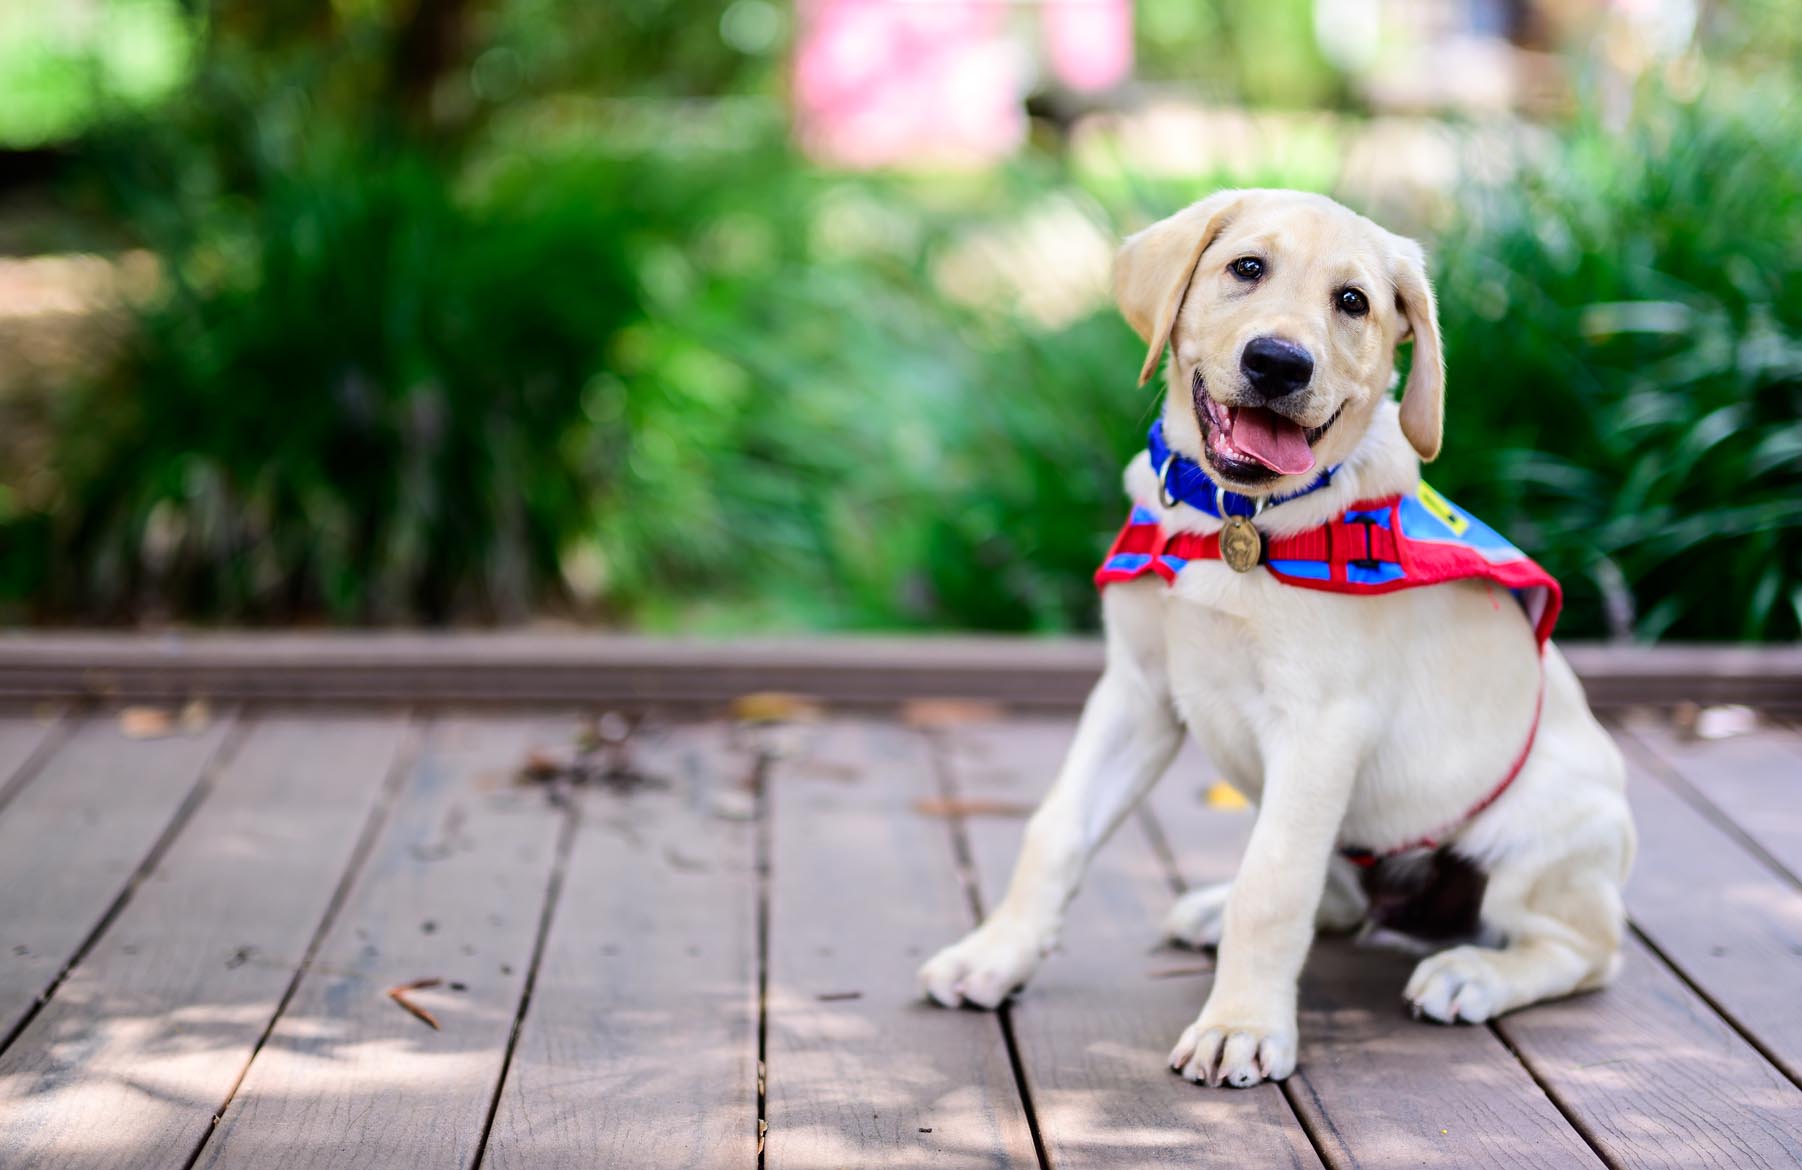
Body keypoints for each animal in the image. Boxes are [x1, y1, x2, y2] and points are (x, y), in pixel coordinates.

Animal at [922, 189, 1643, 1088]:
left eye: (1354, 302)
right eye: (1247, 268)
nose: (1278, 364)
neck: (1232, 518)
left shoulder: (1320, 727)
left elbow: (1271, 886)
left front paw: (1240, 1025)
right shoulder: (1135, 692)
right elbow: (1056, 830)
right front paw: (995, 953)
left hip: (1544, 829)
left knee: (1585, 950)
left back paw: (1471, 972)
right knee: (1335, 898)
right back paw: (1209, 910)